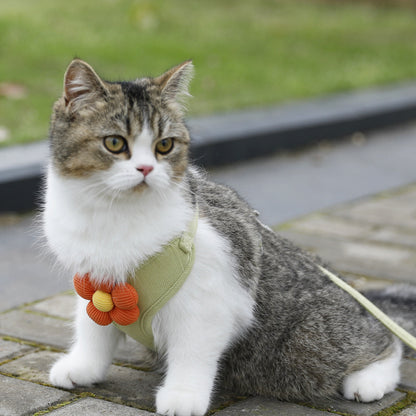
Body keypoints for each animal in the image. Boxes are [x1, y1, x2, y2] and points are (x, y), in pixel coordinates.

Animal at [44, 59, 412, 416]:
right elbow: (93, 329)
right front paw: (82, 367)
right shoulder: (97, 283)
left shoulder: (209, 301)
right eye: (115, 143)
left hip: (306, 346)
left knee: (386, 340)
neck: (114, 215)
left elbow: (193, 352)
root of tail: (360, 298)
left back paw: (368, 379)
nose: (146, 169)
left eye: (164, 145)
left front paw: (183, 395)